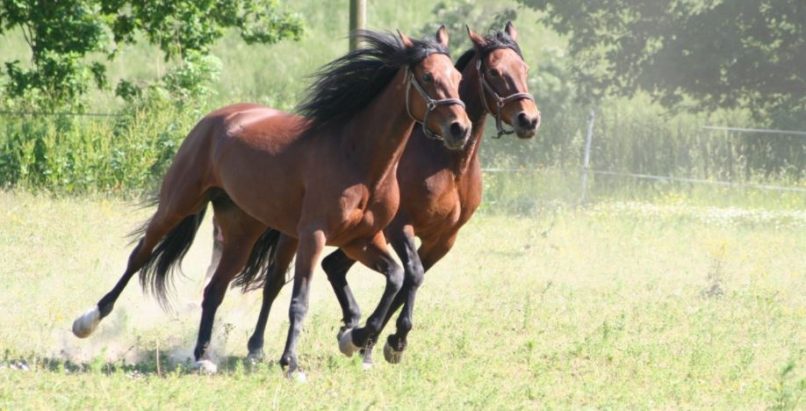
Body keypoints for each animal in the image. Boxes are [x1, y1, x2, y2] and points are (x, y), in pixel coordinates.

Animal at [74, 28, 474, 376]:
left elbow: (396, 277)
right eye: (426, 76)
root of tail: (217, 118)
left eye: (456, 76)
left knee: (214, 289)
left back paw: (202, 357)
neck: (359, 159)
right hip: (178, 204)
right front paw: (292, 364)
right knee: (140, 255)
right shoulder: (315, 236)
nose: (460, 129)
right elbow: (300, 300)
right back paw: (88, 321)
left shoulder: (362, 239)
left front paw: (355, 337)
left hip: (241, 230)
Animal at [213, 22, 544, 366]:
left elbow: (410, 279)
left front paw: (374, 340)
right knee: (276, 281)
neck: (448, 164)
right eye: (493, 71)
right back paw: (257, 347)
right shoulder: (399, 227)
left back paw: (350, 327)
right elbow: (412, 275)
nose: (529, 120)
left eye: (524, 69)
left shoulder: (442, 239)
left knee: (330, 267)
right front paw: (385, 340)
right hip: (301, 234)